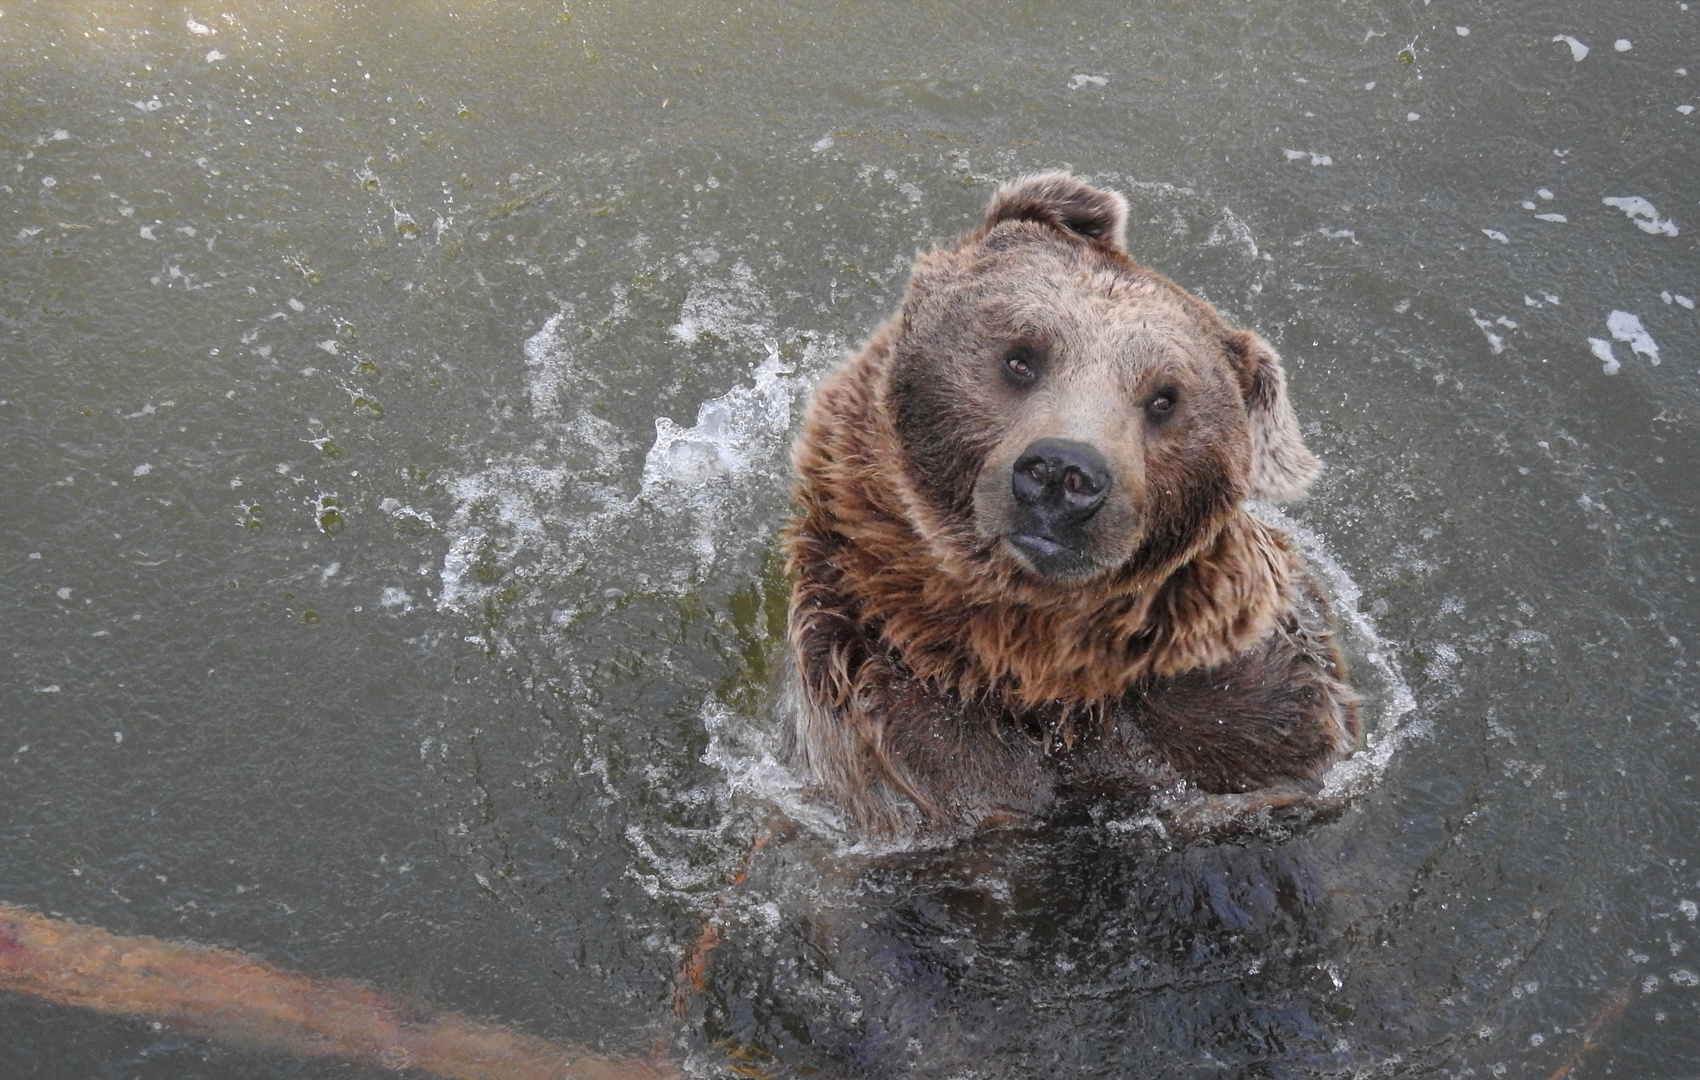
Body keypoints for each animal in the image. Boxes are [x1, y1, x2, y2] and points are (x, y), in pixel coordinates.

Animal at [778, 173, 1353, 840]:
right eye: (1020, 357)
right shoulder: (900, 718)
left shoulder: (1237, 706)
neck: (1037, 661)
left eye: (1164, 398)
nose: (1061, 473)